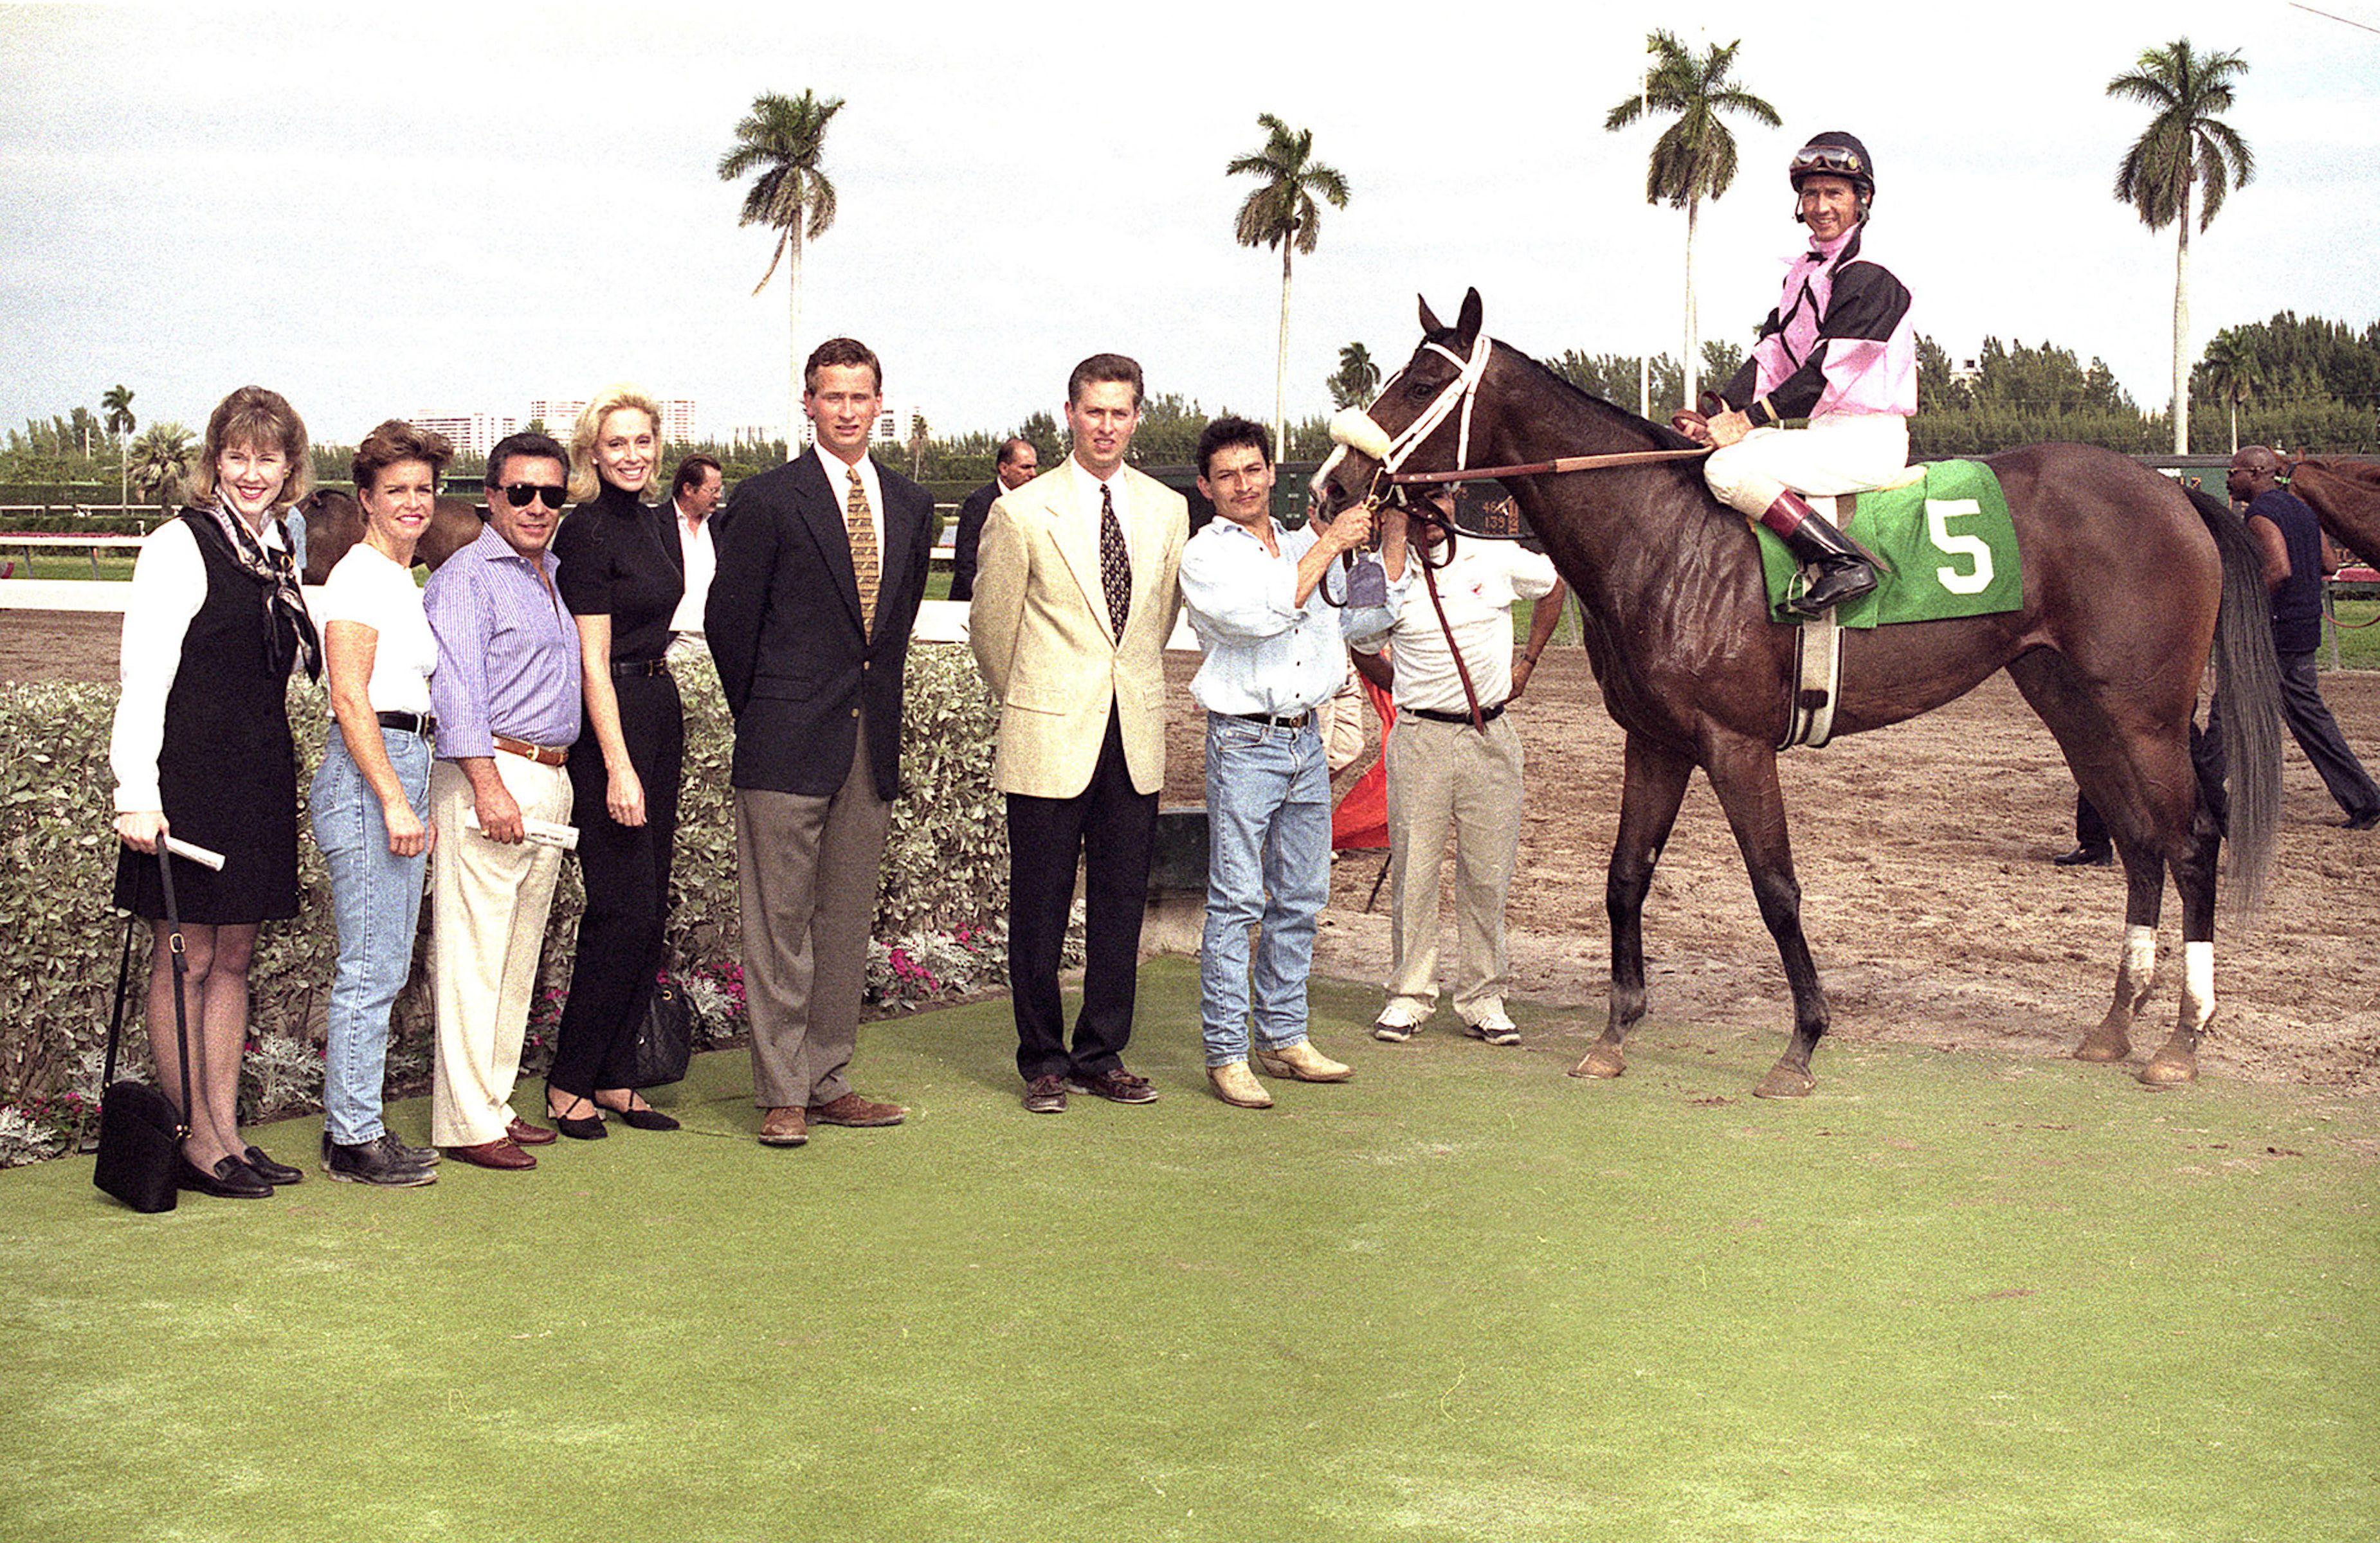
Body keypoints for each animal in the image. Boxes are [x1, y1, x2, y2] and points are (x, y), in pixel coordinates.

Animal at [1313, 289, 2275, 1095]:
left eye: (1424, 380)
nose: (1331, 486)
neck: (1660, 533)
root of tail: (2173, 492)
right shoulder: (1654, 740)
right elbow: (1624, 877)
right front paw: (1614, 1035)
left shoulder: (1733, 744)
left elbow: (1775, 887)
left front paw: (1801, 1044)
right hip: (2071, 703)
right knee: (2139, 842)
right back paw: (2114, 1026)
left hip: (2147, 715)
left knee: (2190, 841)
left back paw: (2181, 1041)